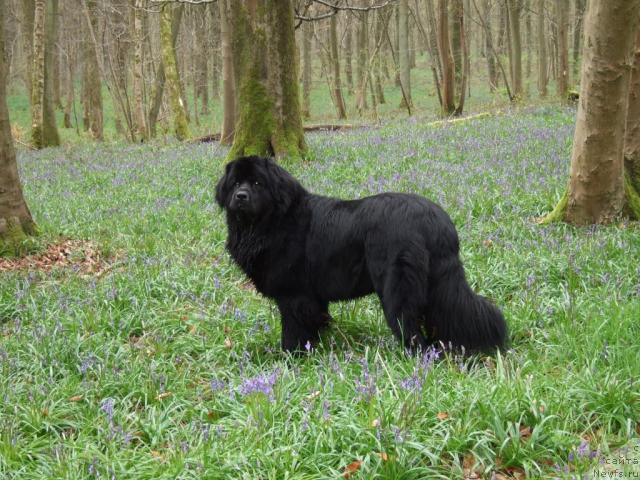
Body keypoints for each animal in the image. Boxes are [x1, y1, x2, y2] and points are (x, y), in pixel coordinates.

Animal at [218, 156, 508, 354]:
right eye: (235, 183)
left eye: (257, 183)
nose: (240, 196)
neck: (272, 222)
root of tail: (435, 218)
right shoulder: (313, 296)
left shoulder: (294, 296)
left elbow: (294, 329)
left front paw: (291, 356)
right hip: (437, 281)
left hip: (397, 286)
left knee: (409, 324)